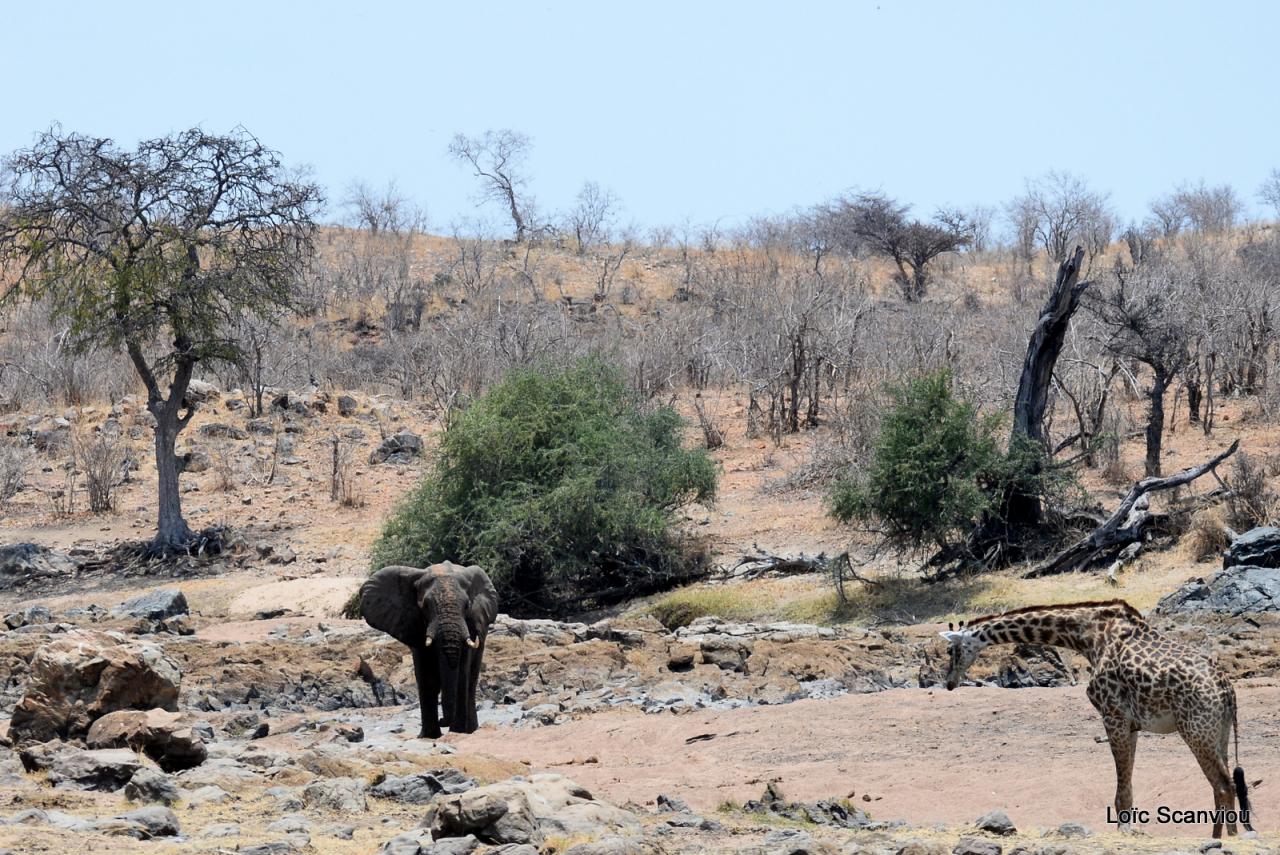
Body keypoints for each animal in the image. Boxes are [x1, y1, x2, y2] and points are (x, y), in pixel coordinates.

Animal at [366, 560, 499, 737]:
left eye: (467, 606)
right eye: (426, 606)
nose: (443, 721)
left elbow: (462, 675)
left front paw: (457, 732)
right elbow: (426, 677)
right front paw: (429, 736)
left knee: (471, 681)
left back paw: (470, 730)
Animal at [936, 601, 1254, 834]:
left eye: (951, 649)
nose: (949, 683)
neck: (1087, 637)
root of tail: (1227, 690)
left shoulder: (1112, 714)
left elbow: (1121, 791)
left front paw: (1124, 832)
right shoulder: (1131, 723)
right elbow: (1127, 785)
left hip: (1195, 731)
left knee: (1223, 785)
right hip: (1219, 732)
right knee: (1223, 786)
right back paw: (1224, 838)